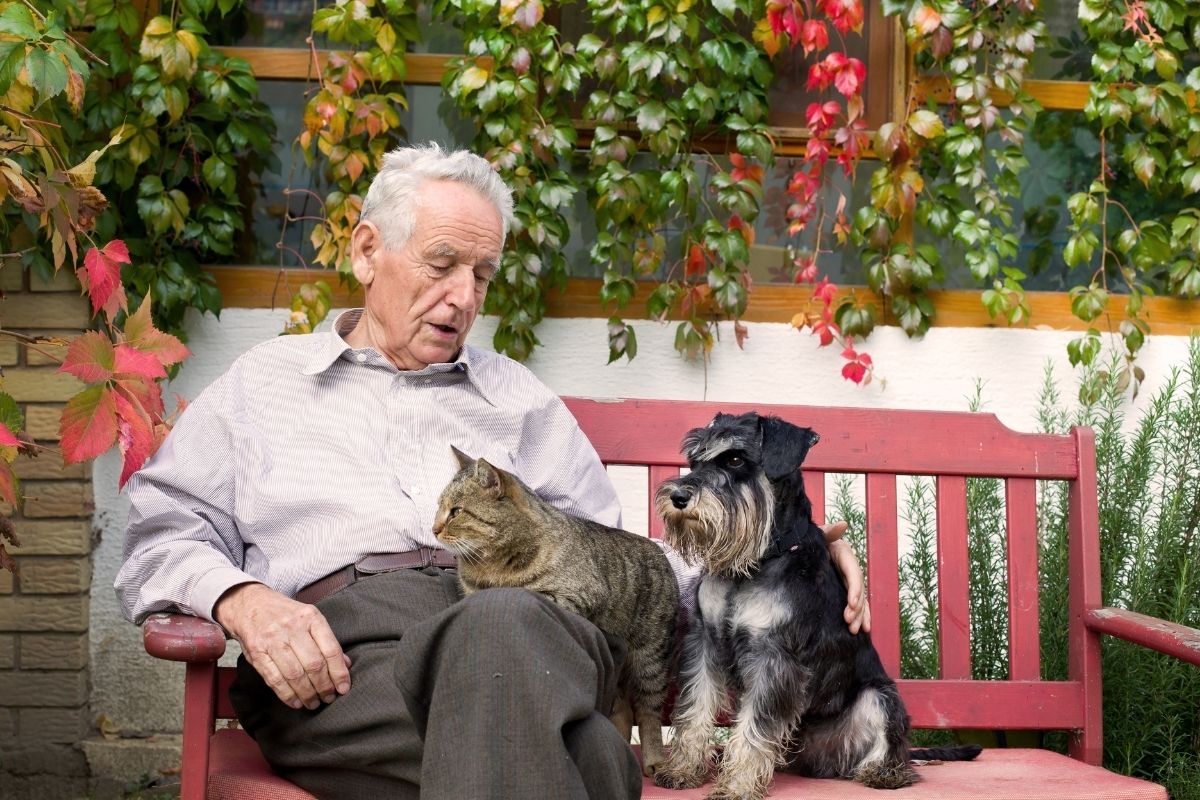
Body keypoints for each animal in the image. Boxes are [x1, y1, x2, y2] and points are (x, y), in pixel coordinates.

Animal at [434, 443, 681, 777]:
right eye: (439, 508)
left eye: (456, 511)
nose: (433, 528)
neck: (489, 567)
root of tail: (662, 553)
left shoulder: (576, 595)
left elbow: (525, 593)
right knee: (623, 712)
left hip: (650, 660)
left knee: (648, 714)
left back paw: (654, 760)